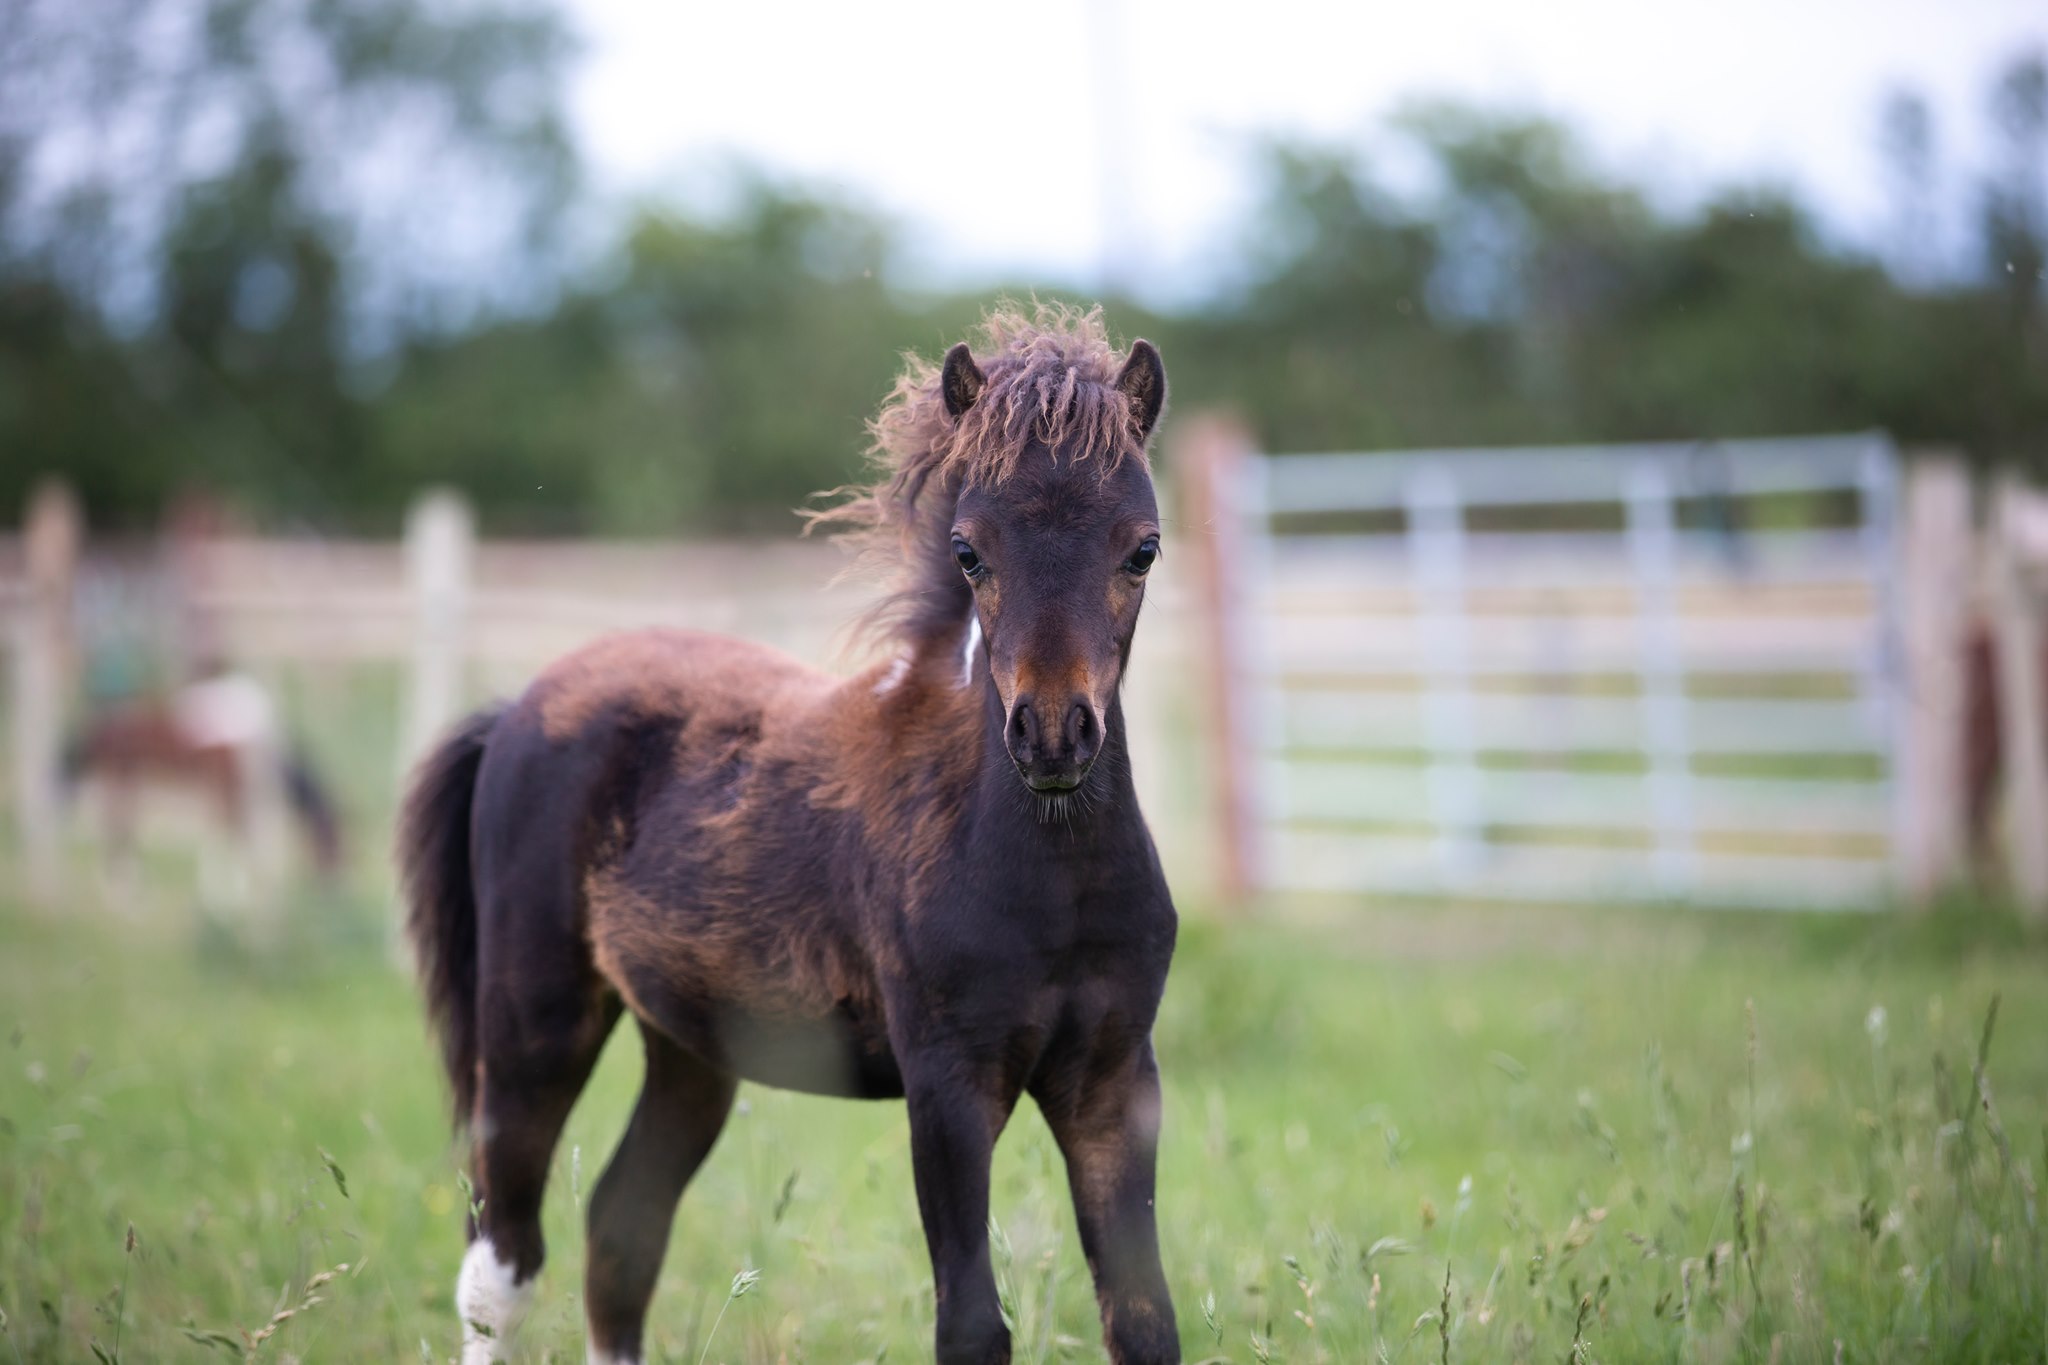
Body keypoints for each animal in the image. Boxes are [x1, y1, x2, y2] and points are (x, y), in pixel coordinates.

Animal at [399, 306, 1181, 1365]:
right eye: (970, 551)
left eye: (1142, 548)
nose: (1053, 734)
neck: (1052, 878)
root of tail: (518, 705)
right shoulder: (947, 1082)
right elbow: (973, 1326)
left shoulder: (1113, 1080)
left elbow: (1143, 1320)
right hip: (534, 1023)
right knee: (501, 1260)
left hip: (687, 1046)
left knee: (622, 1227)